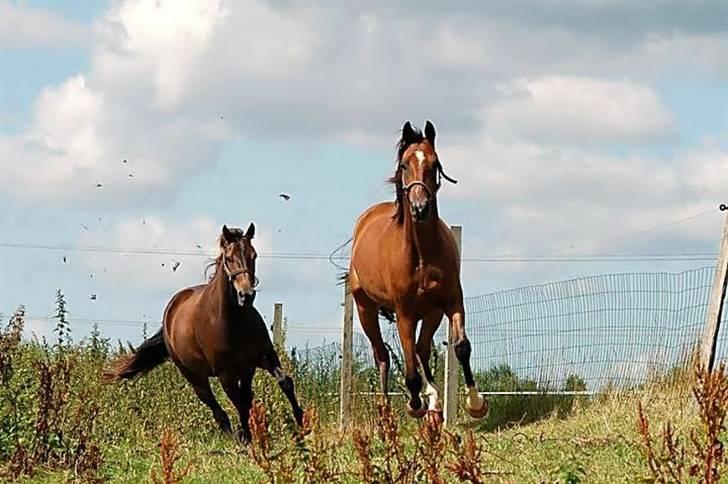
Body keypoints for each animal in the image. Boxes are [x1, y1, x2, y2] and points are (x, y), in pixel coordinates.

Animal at [104, 225, 302, 440]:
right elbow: (239, 404)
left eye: (254, 255)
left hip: (243, 370)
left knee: (244, 398)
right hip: (194, 377)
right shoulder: (226, 375)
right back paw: (237, 436)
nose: (246, 295)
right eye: (229, 258)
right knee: (219, 410)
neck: (233, 320)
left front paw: (301, 424)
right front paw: (249, 436)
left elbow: (284, 382)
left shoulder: (262, 357)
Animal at [348, 120, 486, 420]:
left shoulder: (451, 302)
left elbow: (461, 347)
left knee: (422, 350)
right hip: (365, 309)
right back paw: (387, 410)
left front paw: (476, 403)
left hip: (432, 312)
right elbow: (409, 367)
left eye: (434, 164)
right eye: (404, 165)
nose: (419, 208)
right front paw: (414, 404)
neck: (421, 255)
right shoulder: (404, 314)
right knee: (382, 356)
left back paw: (433, 402)